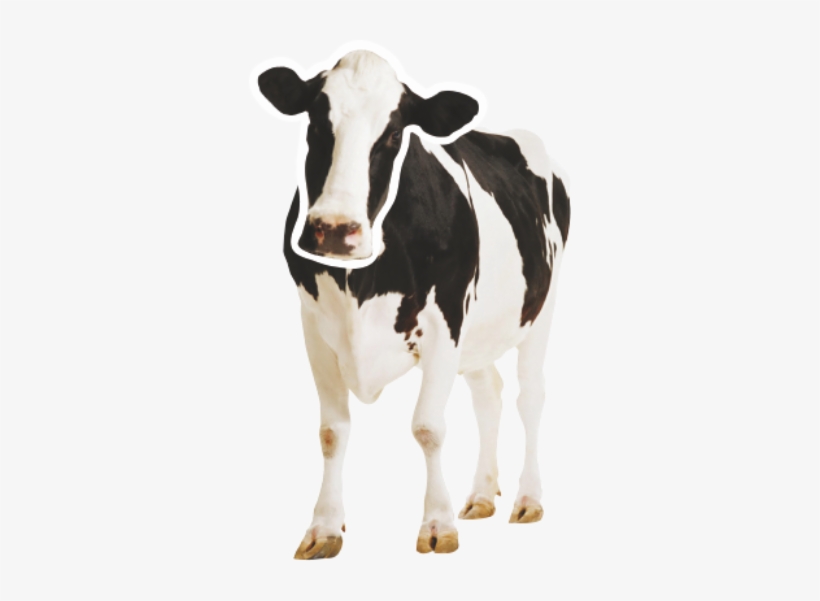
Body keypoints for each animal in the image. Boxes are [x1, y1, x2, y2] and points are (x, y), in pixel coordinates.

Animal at [256, 48, 570, 559]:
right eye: (317, 124)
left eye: (392, 134)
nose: (335, 230)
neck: (361, 283)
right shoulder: (314, 328)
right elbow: (331, 432)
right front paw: (324, 527)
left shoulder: (445, 323)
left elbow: (428, 427)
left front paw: (437, 524)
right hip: (478, 333)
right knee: (489, 393)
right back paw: (482, 495)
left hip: (541, 307)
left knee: (531, 396)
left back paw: (528, 499)